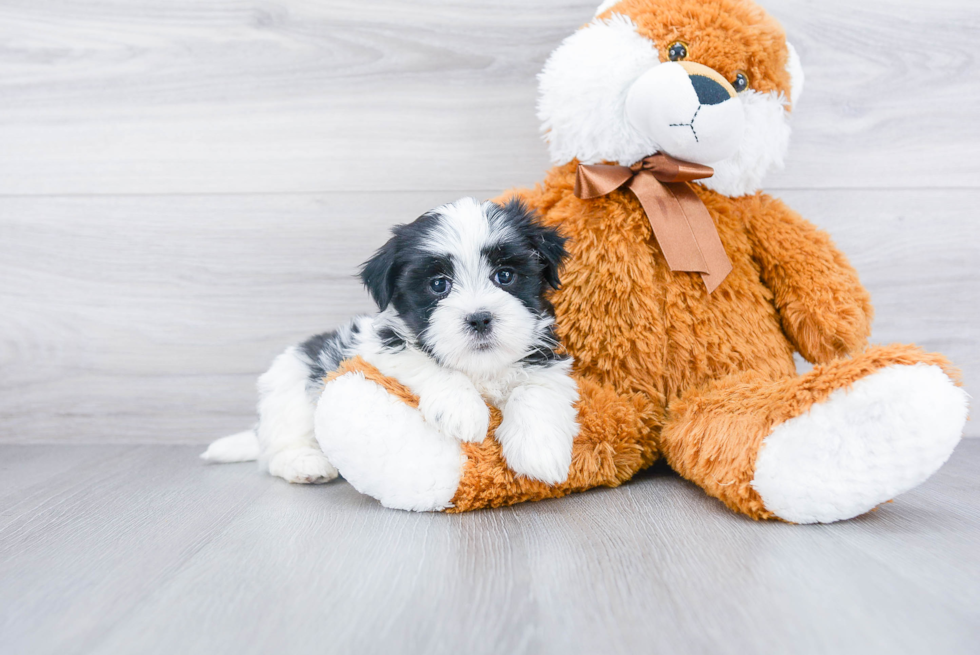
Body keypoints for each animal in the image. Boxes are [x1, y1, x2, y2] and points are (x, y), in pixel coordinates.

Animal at [202, 200, 580, 486]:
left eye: (505, 275)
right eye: (438, 284)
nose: (479, 318)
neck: (479, 369)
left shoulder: (544, 357)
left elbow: (536, 389)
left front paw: (540, 452)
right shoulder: (380, 348)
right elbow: (423, 362)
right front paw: (463, 409)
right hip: (290, 388)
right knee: (280, 446)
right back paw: (306, 464)